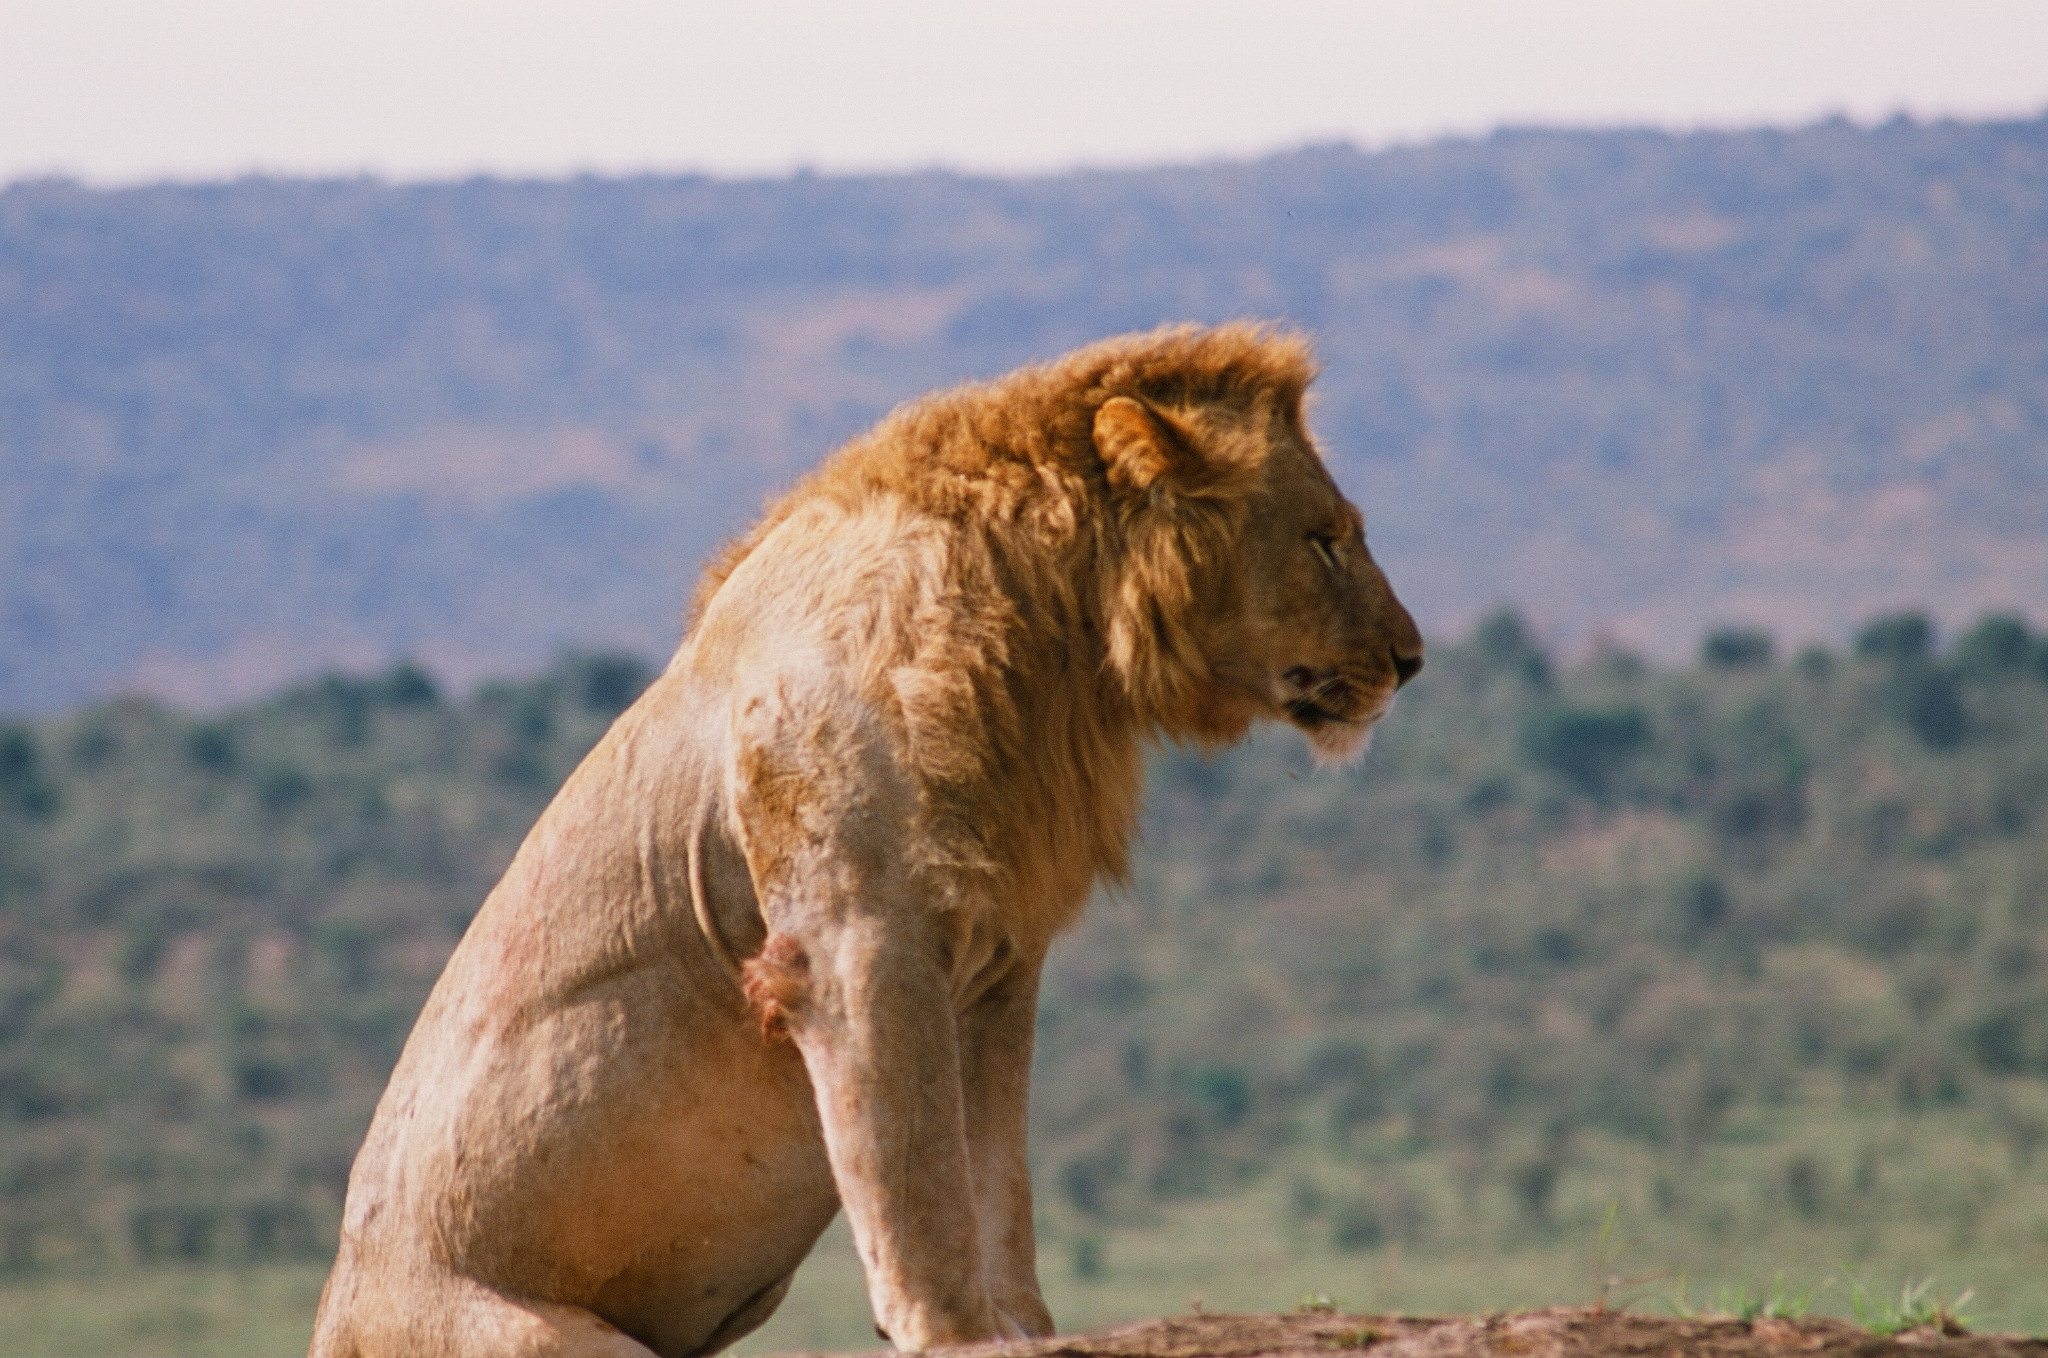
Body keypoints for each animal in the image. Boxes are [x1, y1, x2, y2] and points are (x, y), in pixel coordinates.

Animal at [307, 327, 1425, 1358]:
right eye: (1326, 539)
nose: (1413, 659)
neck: (1052, 644)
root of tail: (329, 1320)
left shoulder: (996, 963)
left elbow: (992, 1170)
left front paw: (1023, 1325)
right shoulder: (856, 944)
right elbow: (913, 1166)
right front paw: (957, 1332)